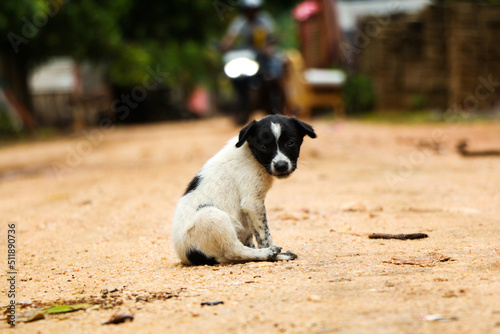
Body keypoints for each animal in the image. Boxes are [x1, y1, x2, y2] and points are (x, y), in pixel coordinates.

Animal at [172, 116, 316, 264]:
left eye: (290, 143)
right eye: (264, 147)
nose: (281, 166)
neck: (251, 155)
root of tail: (186, 256)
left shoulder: (248, 213)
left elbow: (253, 236)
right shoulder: (252, 202)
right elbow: (264, 235)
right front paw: (271, 251)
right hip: (211, 216)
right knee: (234, 251)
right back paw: (270, 253)